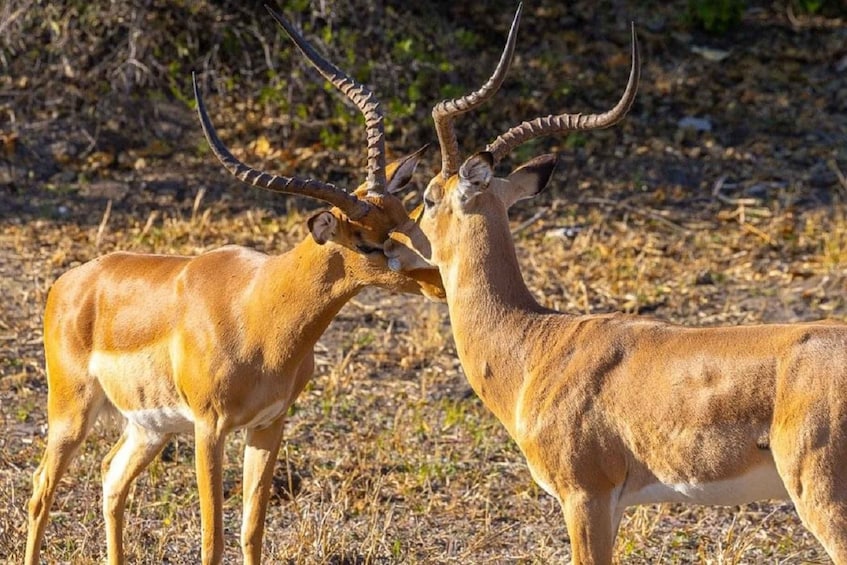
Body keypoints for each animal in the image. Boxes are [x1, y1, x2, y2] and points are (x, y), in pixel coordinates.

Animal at [24, 5, 448, 564]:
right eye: (366, 242)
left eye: (404, 214)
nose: (439, 280)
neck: (260, 314)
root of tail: (69, 283)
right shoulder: (210, 428)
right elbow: (213, 538)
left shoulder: (269, 424)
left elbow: (252, 530)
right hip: (71, 412)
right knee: (41, 490)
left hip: (148, 428)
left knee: (111, 480)